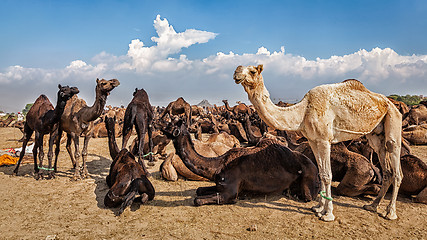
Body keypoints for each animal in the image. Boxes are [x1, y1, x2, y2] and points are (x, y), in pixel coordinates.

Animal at [159, 117, 320, 205]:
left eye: (171, 124)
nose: (158, 125)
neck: (218, 166)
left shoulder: (229, 192)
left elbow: (197, 200)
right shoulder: (219, 185)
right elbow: (199, 190)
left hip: (308, 183)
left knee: (308, 196)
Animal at [234, 64, 404, 221]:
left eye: (252, 71)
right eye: (239, 68)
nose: (236, 73)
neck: (303, 112)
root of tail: (391, 103)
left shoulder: (324, 140)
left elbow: (328, 175)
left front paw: (328, 214)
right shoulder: (313, 140)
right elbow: (321, 173)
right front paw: (318, 208)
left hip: (394, 119)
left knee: (396, 167)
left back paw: (390, 213)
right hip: (376, 135)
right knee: (386, 168)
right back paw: (372, 205)